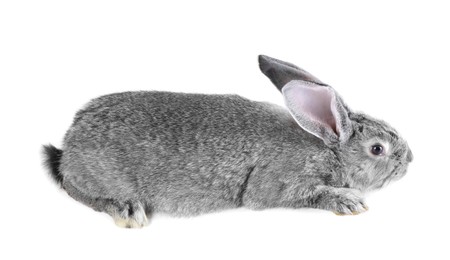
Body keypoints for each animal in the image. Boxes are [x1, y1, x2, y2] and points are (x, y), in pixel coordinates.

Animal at [42, 54, 412, 228]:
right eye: (377, 149)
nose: (409, 161)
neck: (326, 148)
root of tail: (70, 142)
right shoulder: (280, 182)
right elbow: (308, 194)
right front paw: (349, 202)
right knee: (75, 189)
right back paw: (126, 209)